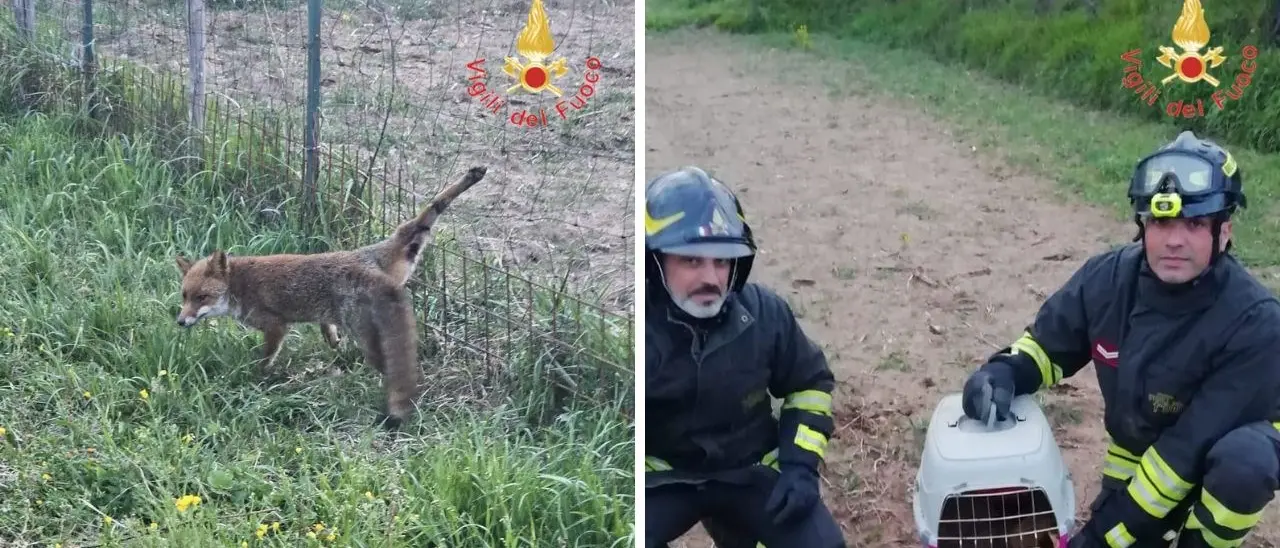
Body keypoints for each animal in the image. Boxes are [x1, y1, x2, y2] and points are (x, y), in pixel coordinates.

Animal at [174, 165, 488, 429]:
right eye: (185, 296)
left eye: (202, 297)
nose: (180, 321)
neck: (239, 286)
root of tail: (366, 264)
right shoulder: (323, 317)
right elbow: (327, 330)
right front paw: (334, 345)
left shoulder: (276, 326)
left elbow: (264, 360)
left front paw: (258, 378)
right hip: (409, 245)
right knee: (427, 215)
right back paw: (471, 176)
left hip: (371, 342)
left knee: (394, 370)